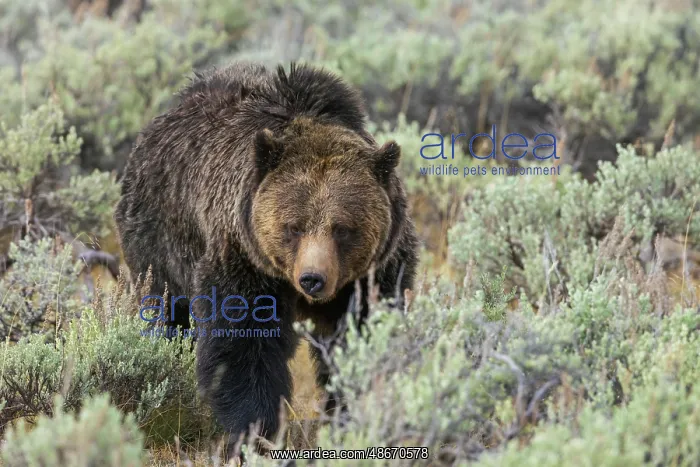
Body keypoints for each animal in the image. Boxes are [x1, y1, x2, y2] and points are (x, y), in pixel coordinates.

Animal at [114, 61, 419, 451]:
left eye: (342, 228)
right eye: (294, 227)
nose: (312, 279)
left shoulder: (374, 276)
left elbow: (361, 338)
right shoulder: (244, 260)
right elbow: (245, 346)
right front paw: (255, 430)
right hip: (160, 241)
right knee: (168, 314)